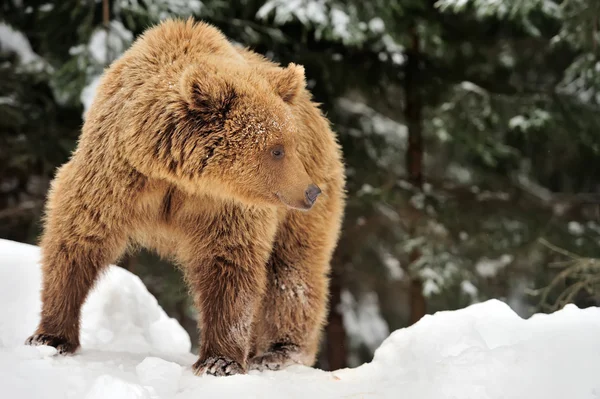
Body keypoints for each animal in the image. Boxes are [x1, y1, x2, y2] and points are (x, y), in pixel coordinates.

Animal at [25, 17, 344, 376]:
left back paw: (279, 352)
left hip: (303, 212)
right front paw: (49, 336)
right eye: (277, 149)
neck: (175, 175)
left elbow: (229, 264)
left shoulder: (224, 206)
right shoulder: (116, 177)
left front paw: (220, 360)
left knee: (292, 273)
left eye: (291, 143)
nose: (310, 191)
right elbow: (78, 238)